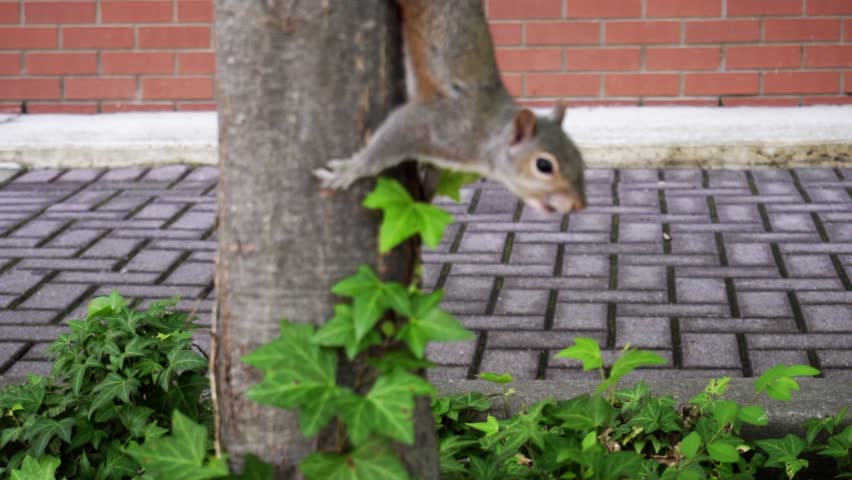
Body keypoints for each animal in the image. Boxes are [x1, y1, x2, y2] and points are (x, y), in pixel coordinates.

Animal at [314, 0, 586, 214]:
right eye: (544, 166)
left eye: (579, 156)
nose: (579, 205)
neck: (488, 135)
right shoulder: (439, 125)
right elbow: (391, 138)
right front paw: (351, 170)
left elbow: (434, 171)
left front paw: (424, 196)